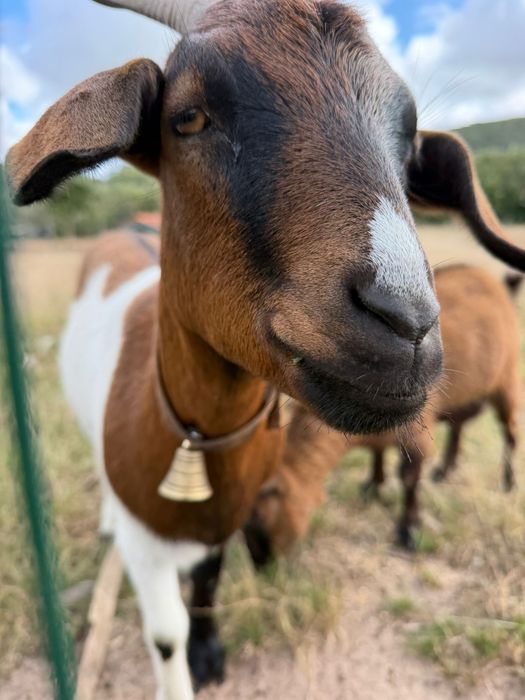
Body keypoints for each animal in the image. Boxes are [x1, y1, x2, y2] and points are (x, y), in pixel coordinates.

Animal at [246, 265, 522, 558]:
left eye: (257, 519)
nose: (262, 562)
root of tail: (499, 285)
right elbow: (377, 454)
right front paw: (373, 485)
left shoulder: (416, 431)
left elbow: (409, 478)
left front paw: (408, 530)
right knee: (459, 424)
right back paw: (444, 471)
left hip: (506, 379)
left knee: (510, 430)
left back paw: (508, 481)